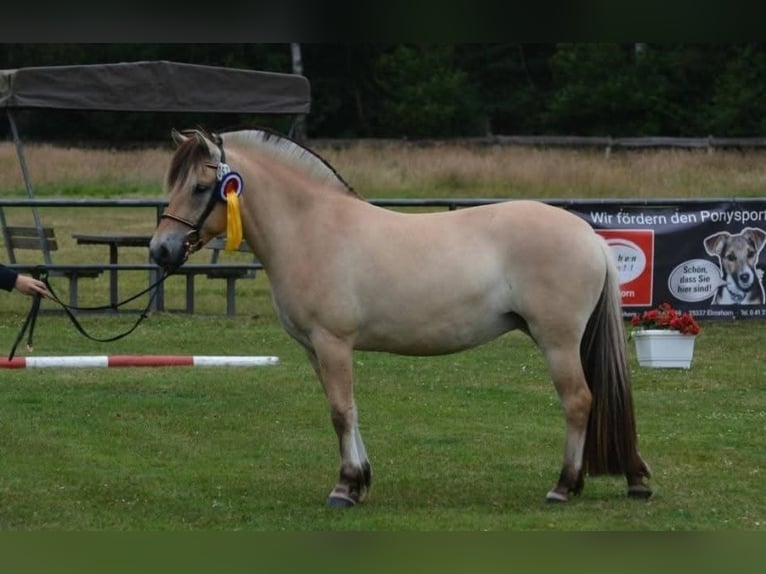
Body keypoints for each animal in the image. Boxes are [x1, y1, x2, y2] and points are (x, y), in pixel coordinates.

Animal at [149, 127, 653, 508]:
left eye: (200, 187)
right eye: (172, 184)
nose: (161, 250)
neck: (312, 229)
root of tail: (589, 235)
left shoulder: (333, 342)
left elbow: (340, 411)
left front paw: (345, 487)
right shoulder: (315, 349)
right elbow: (349, 410)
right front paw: (361, 480)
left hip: (558, 341)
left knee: (579, 400)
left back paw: (563, 486)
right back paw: (624, 479)